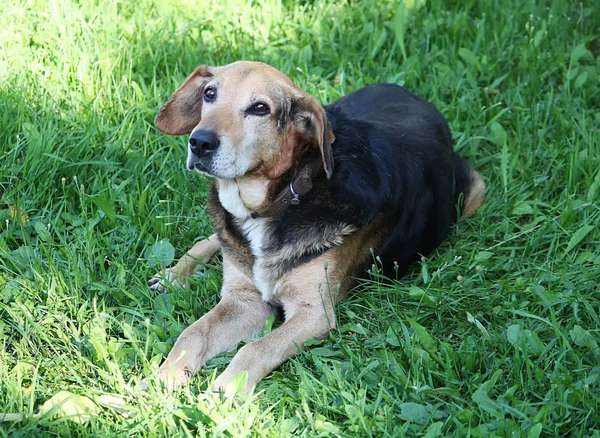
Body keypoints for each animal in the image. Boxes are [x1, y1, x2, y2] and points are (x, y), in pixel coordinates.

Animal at [148, 60, 486, 394]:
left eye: (260, 108)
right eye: (209, 93)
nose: (200, 142)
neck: (279, 198)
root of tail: (411, 94)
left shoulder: (314, 313)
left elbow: (254, 349)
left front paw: (225, 390)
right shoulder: (243, 299)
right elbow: (193, 333)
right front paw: (163, 377)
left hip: (476, 191)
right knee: (215, 237)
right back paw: (174, 274)